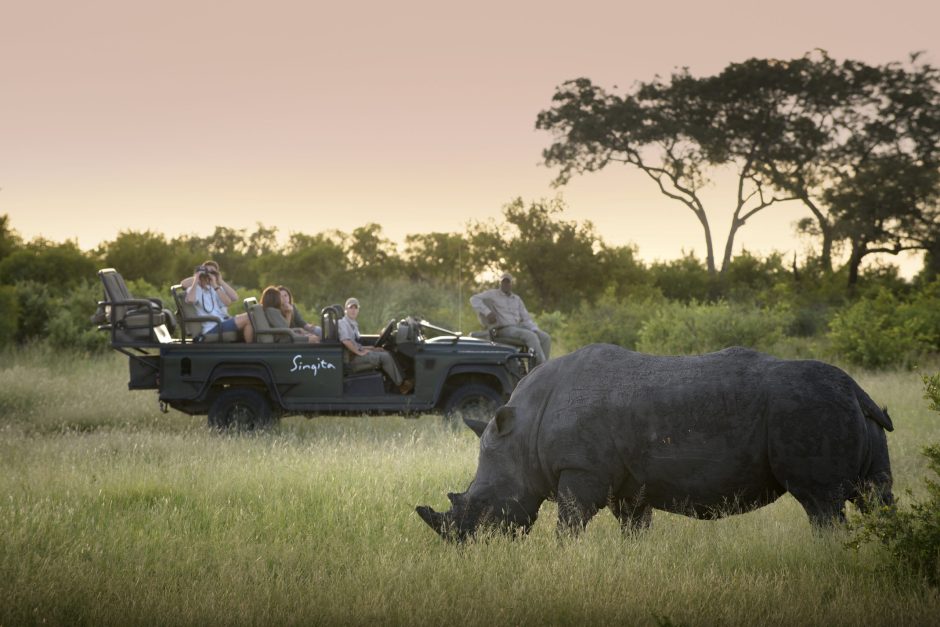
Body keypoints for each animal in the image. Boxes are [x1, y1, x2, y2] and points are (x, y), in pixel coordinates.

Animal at [416, 345, 893, 541]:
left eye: (482, 507)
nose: (462, 546)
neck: (522, 435)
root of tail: (855, 388)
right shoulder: (630, 485)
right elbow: (634, 529)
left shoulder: (581, 471)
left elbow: (570, 524)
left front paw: (563, 557)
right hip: (850, 412)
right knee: (875, 495)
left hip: (807, 410)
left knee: (820, 503)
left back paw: (827, 553)